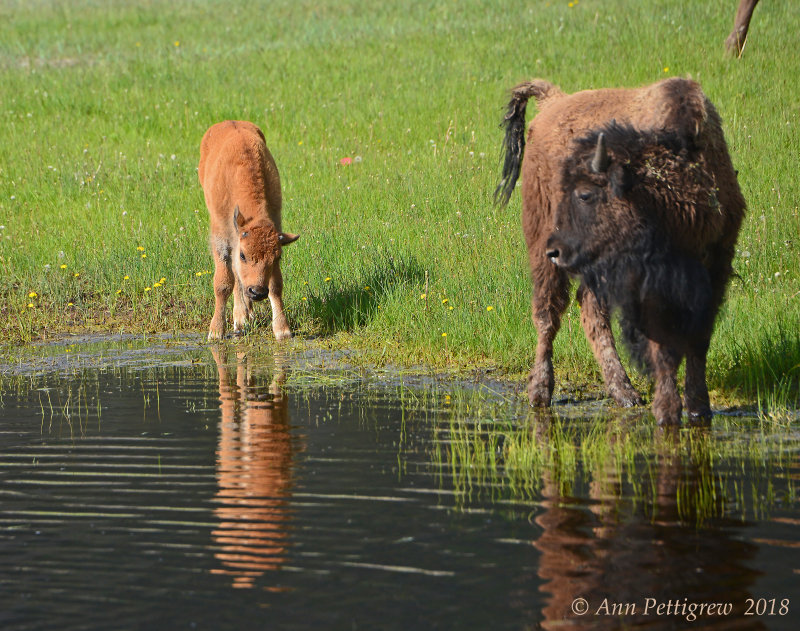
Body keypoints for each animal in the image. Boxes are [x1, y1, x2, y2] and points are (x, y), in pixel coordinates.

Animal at [199, 121, 300, 344]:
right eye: (244, 255)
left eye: (277, 257)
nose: (258, 292)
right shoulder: (222, 239)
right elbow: (223, 283)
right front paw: (216, 331)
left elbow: (276, 285)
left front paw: (282, 330)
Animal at [496, 78, 748, 424]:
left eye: (585, 194)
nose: (557, 249)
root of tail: (553, 101)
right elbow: (662, 344)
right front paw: (667, 410)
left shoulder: (714, 269)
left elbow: (698, 339)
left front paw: (699, 407)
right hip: (541, 248)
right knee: (548, 314)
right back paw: (541, 392)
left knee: (589, 308)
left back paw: (623, 392)